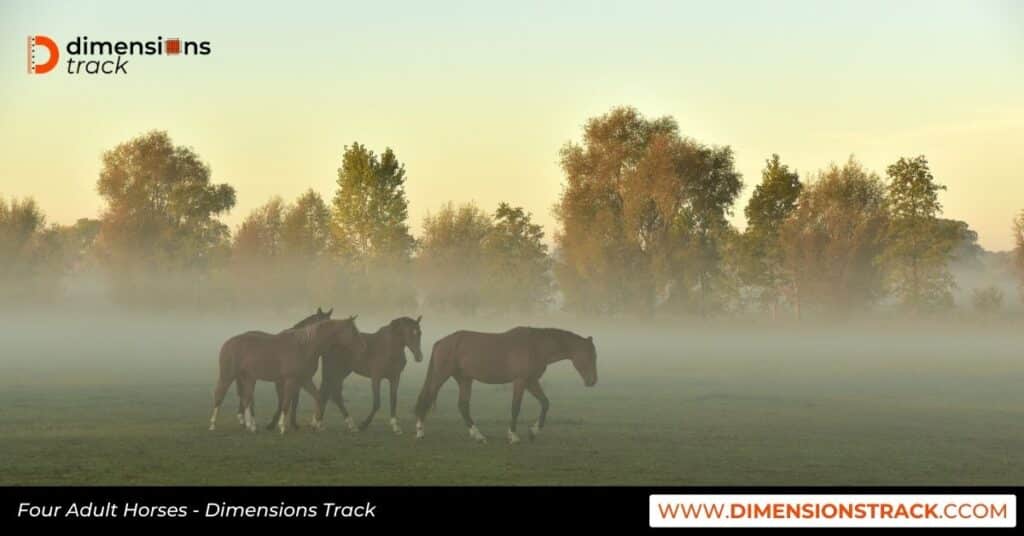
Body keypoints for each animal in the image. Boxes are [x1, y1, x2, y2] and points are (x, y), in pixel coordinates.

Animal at [207, 317, 364, 434]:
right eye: (353, 331)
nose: (362, 347)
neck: (304, 347)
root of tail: (228, 343)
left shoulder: (304, 380)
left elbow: (318, 397)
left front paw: (317, 424)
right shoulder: (290, 380)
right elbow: (286, 402)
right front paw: (282, 426)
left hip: (248, 378)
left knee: (246, 399)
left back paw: (252, 426)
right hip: (227, 376)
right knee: (219, 395)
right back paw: (213, 424)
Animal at [411, 327, 598, 444]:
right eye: (589, 355)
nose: (592, 381)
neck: (535, 346)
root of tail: (441, 342)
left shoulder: (531, 381)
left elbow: (545, 403)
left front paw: (533, 431)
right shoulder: (521, 381)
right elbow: (516, 407)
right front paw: (513, 436)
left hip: (465, 379)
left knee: (463, 406)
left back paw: (478, 436)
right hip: (440, 376)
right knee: (426, 398)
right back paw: (420, 432)